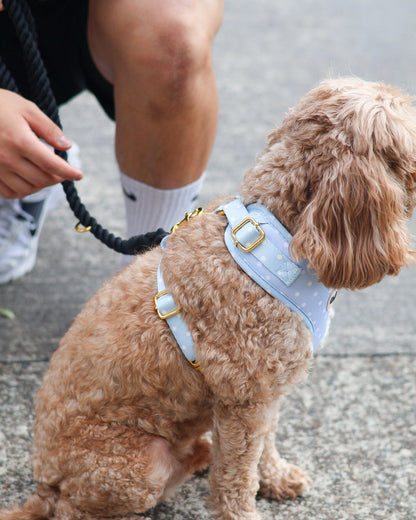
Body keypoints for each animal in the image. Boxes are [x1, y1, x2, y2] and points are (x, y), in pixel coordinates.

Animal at [0, 77, 416, 520]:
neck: (276, 235)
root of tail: (44, 482)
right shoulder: (244, 401)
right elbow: (236, 478)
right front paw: (245, 506)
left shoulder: (265, 394)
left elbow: (264, 446)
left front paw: (276, 477)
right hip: (134, 464)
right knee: (77, 508)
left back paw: (199, 454)